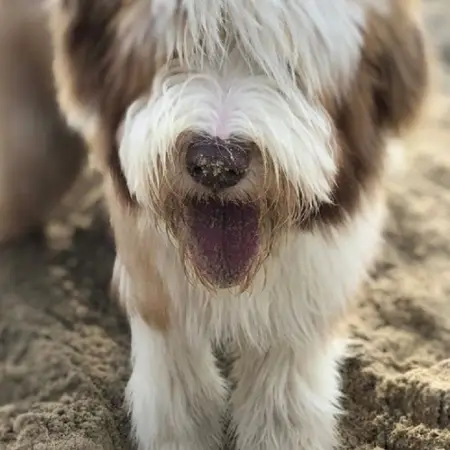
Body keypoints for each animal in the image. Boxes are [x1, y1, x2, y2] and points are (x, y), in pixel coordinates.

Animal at [0, 0, 428, 450]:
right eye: (173, 52)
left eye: (289, 64)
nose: (216, 164)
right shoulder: (149, 253)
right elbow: (174, 370)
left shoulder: (315, 272)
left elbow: (284, 388)